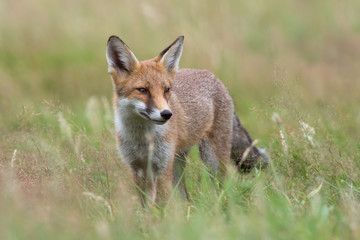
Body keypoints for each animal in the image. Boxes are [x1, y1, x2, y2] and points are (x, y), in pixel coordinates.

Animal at [104, 35, 268, 204]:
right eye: (142, 90)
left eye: (166, 90)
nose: (167, 114)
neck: (142, 138)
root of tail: (214, 77)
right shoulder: (137, 168)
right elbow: (147, 206)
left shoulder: (162, 167)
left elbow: (162, 204)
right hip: (177, 164)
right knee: (186, 198)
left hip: (211, 160)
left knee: (225, 187)